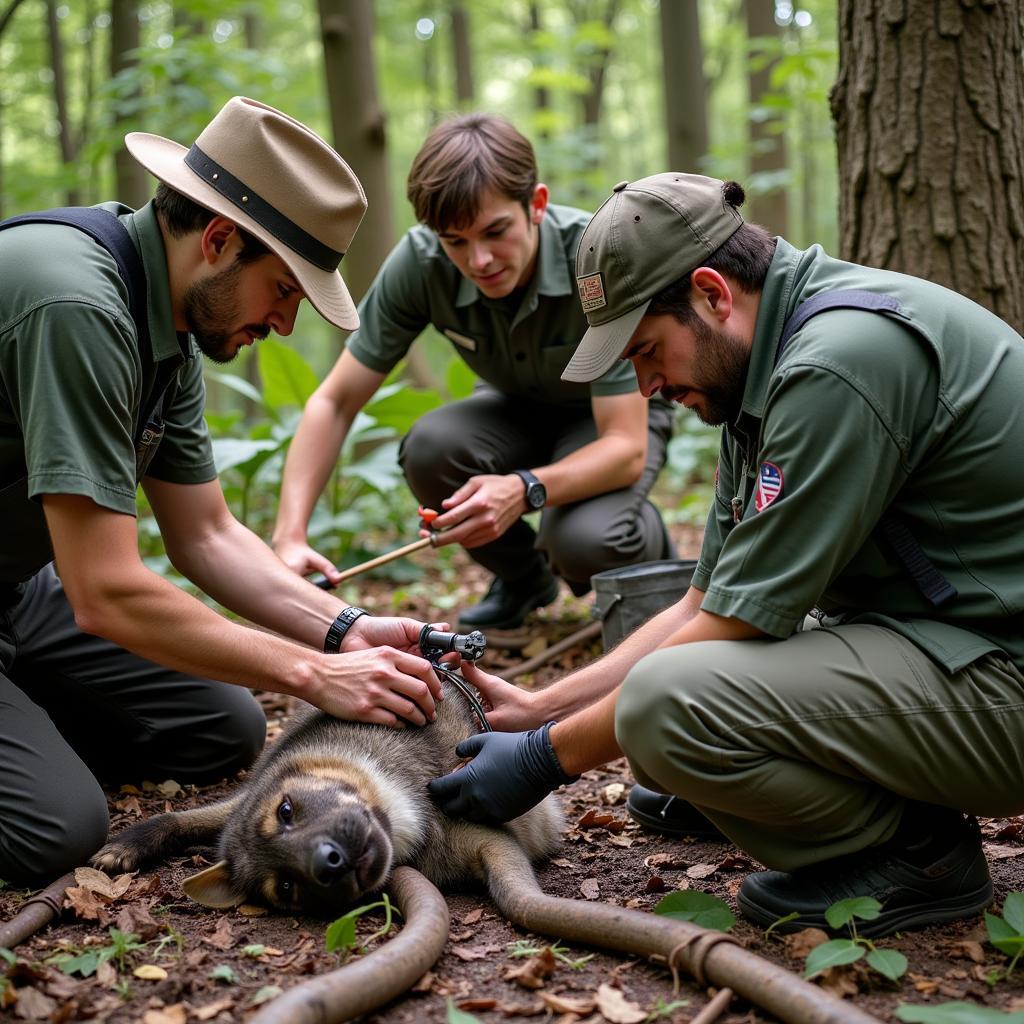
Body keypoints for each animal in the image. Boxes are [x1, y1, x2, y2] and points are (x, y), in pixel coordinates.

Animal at [92, 675, 565, 917]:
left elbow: (519, 893)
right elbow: (177, 818)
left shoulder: (488, 837)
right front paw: (126, 846)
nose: (329, 863)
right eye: (286, 888)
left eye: (286, 810)